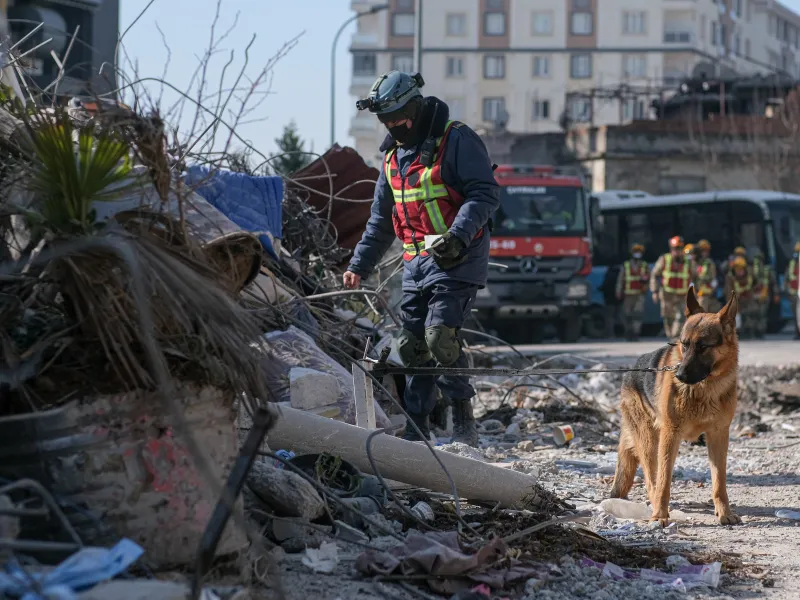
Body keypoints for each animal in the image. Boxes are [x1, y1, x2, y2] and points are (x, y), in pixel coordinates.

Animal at [612, 286, 744, 524]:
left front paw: (724, 512)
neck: (704, 389)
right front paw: (659, 516)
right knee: (652, 479)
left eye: (703, 346)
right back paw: (656, 507)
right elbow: (664, 480)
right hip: (650, 441)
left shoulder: (718, 435)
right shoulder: (670, 435)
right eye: (684, 343)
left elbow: (719, 481)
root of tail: (629, 371)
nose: (679, 375)